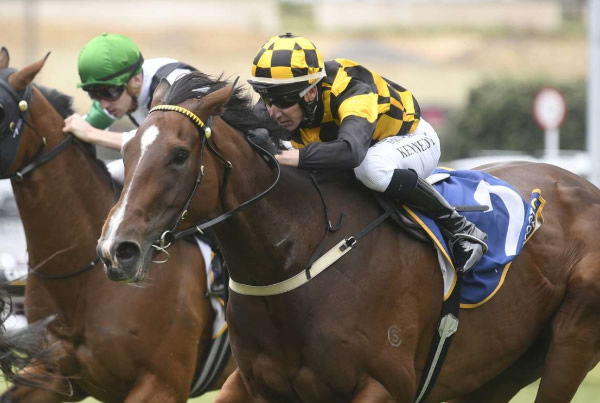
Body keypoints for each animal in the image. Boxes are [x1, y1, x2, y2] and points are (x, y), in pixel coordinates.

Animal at [97, 71, 600, 402]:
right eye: (126, 149)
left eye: (180, 154)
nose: (116, 250)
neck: (299, 257)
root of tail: (584, 186)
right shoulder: (253, 382)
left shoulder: (384, 385)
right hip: (498, 369)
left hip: (570, 343)